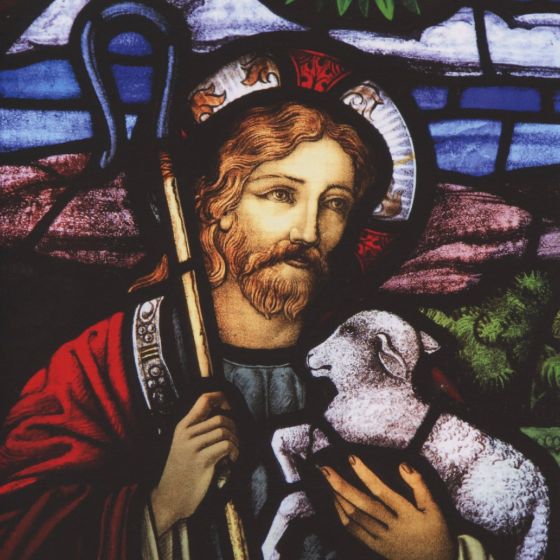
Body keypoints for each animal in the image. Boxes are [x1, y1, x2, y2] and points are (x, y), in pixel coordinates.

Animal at [263, 310, 550, 560]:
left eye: (349, 331)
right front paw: (290, 475)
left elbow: (293, 495)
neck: (379, 394)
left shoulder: (341, 463)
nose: (309, 354)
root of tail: (541, 492)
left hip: (483, 511)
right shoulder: (324, 440)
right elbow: (282, 437)